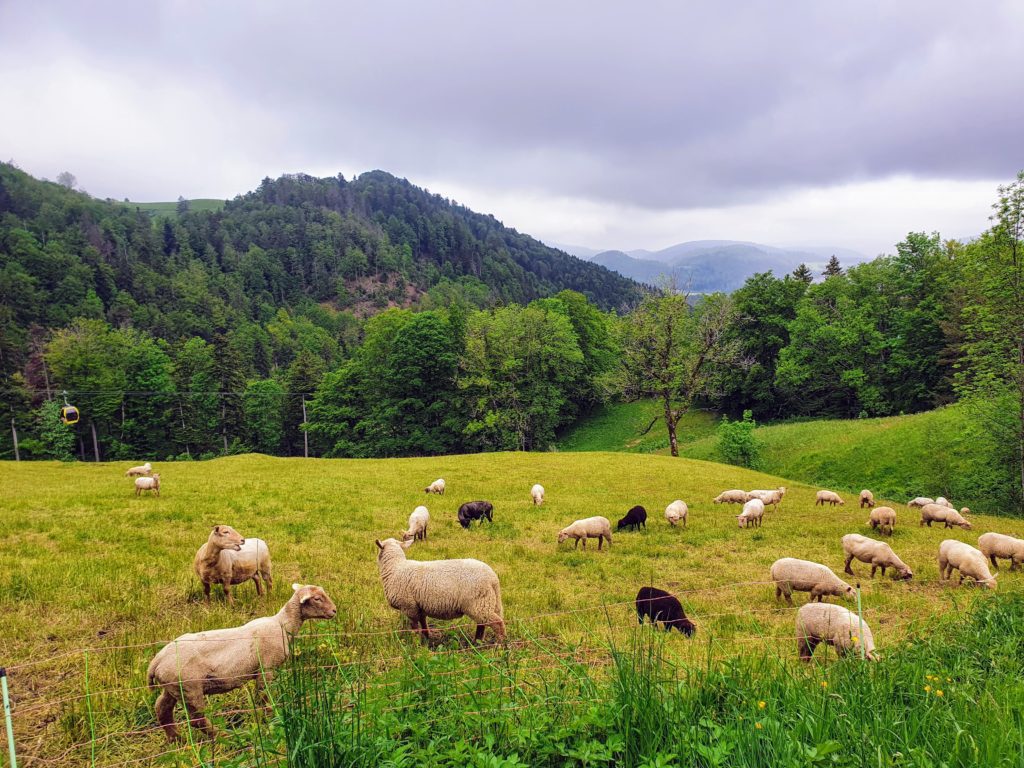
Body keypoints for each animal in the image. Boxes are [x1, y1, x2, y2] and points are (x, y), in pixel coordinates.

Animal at [146, 585, 335, 741]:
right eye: (317, 598)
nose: (334, 611)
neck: (282, 624)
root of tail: (157, 660)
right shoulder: (266, 668)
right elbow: (263, 696)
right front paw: (271, 718)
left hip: (173, 688)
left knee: (162, 709)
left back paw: (176, 739)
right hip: (190, 688)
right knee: (197, 720)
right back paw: (225, 737)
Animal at [374, 536, 505, 647]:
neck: (395, 567)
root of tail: (493, 578)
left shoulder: (409, 606)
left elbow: (415, 627)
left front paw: (415, 643)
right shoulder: (419, 607)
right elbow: (424, 624)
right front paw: (426, 639)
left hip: (478, 604)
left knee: (497, 623)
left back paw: (499, 645)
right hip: (487, 603)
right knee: (482, 623)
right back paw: (476, 643)